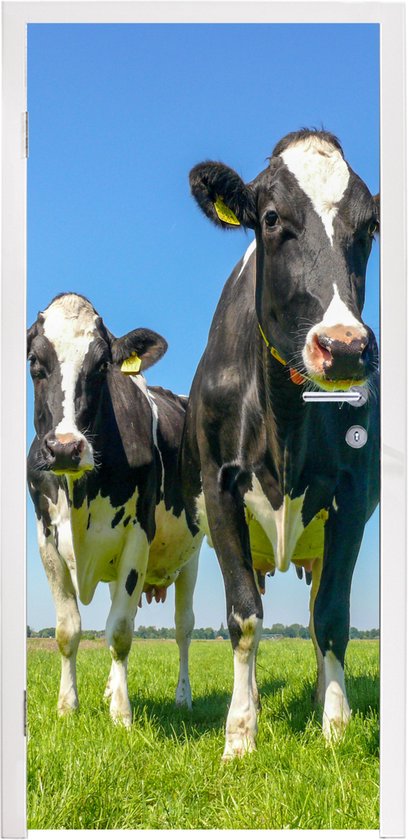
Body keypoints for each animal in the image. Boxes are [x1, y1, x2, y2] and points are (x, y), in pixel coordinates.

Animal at [27, 293, 202, 726]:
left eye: (102, 365)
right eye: (35, 361)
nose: (65, 448)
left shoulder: (138, 537)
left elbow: (121, 630)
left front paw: (121, 714)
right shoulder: (46, 541)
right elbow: (67, 630)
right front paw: (67, 706)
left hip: (192, 555)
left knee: (183, 627)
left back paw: (183, 697)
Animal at [181, 129, 379, 760]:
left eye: (370, 226)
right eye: (271, 218)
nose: (344, 348)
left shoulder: (351, 498)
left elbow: (333, 616)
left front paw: (336, 726)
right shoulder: (220, 488)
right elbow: (244, 616)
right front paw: (240, 732)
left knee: (316, 614)